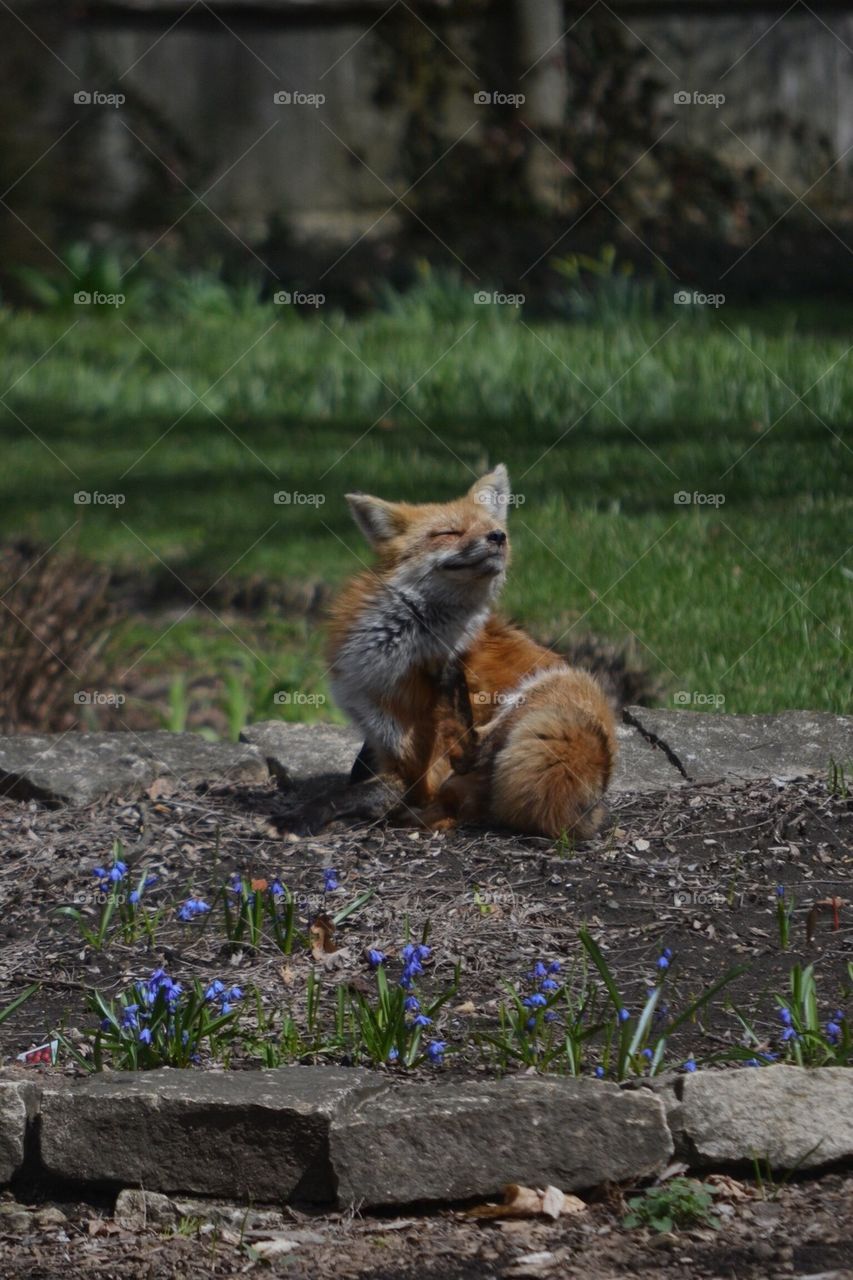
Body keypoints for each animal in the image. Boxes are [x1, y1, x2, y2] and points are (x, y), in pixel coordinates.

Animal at [327, 465, 617, 839]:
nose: (498, 536)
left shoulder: (423, 759)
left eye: (494, 529)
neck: (392, 648)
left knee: (469, 756)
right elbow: (369, 779)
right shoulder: (382, 738)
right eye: (449, 532)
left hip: (539, 693)